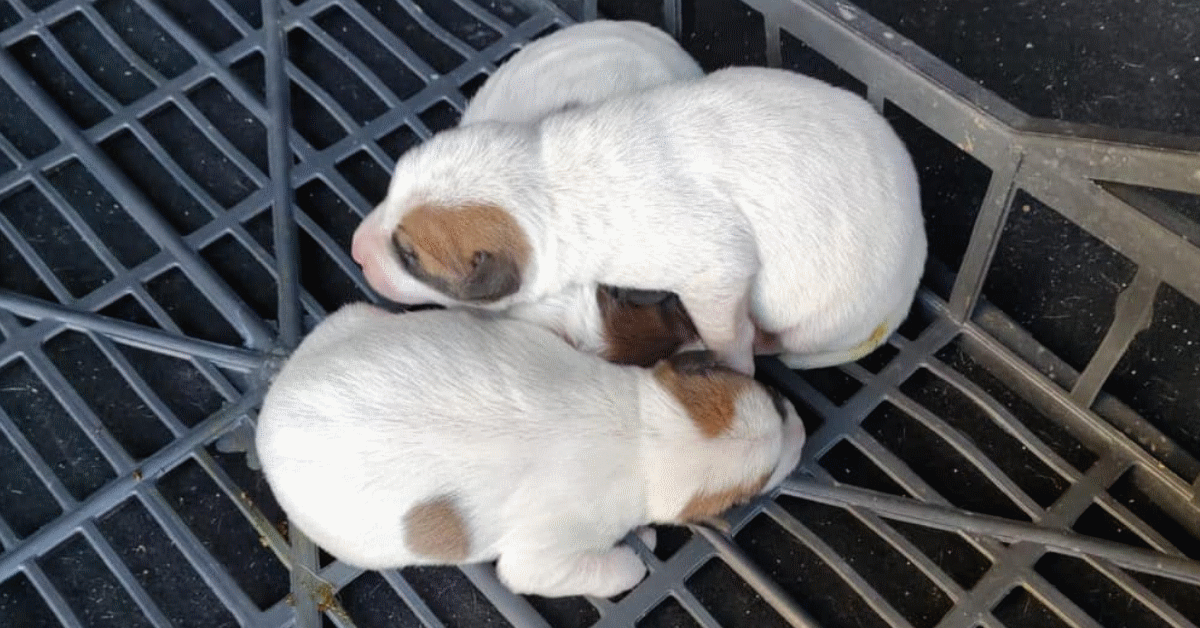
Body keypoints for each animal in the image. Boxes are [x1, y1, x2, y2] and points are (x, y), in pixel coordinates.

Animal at [260, 304, 806, 600]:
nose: (801, 431)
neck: (642, 434)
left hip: (352, 319)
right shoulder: (545, 556)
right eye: (751, 492)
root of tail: (269, 419)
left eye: (777, 401)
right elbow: (588, 567)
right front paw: (636, 550)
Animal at [348, 66, 926, 377]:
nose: (355, 249)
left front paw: (729, 359)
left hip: (812, 320)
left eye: (409, 255)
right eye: (390, 187)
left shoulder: (713, 265)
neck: (546, 178)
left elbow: (725, 328)